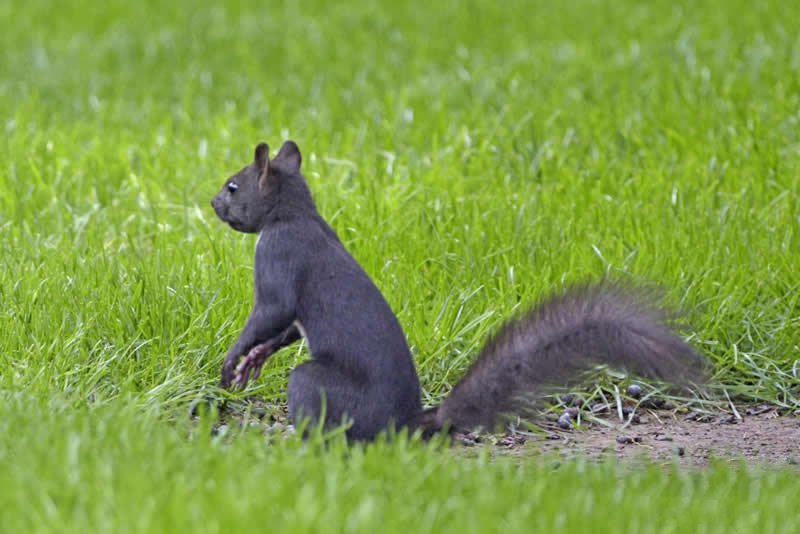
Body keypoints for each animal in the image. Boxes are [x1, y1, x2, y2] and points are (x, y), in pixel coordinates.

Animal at [212, 140, 708, 442]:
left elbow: (271, 312)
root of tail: (406, 423)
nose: (214, 203)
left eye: (234, 186)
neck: (292, 213)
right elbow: (283, 330)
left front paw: (232, 359)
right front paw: (254, 360)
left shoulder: (279, 257)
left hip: (317, 385)